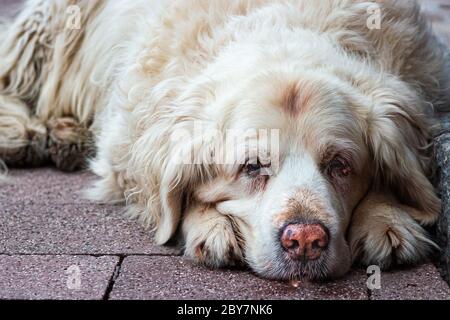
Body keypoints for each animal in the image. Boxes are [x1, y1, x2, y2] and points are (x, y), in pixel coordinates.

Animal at [0, 0, 450, 280]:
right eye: (252, 167)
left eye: (340, 166)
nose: (305, 240)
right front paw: (211, 225)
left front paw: (386, 218)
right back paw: (27, 132)